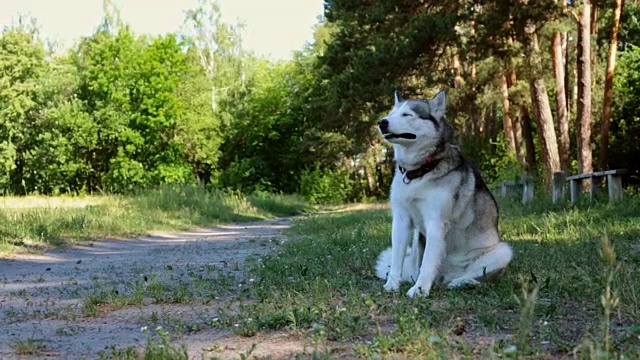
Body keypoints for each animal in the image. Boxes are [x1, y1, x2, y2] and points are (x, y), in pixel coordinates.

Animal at [378, 90, 512, 298]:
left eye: (407, 114)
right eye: (391, 113)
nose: (382, 122)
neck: (418, 173)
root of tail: (445, 276)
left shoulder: (436, 223)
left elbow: (427, 263)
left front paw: (419, 290)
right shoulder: (401, 220)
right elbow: (397, 258)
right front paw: (392, 285)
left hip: (503, 251)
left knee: (476, 277)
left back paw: (463, 282)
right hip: (415, 249)